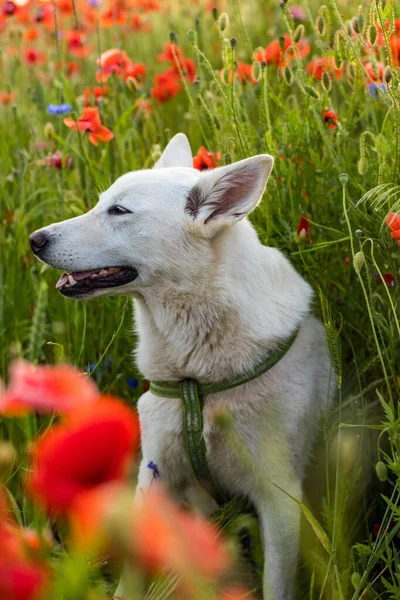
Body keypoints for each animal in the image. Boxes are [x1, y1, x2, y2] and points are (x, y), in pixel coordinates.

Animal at [28, 134, 334, 596]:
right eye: (100, 203)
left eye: (119, 211)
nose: (34, 239)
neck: (198, 379)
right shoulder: (155, 476)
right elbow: (130, 582)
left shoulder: (281, 498)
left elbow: (276, 584)